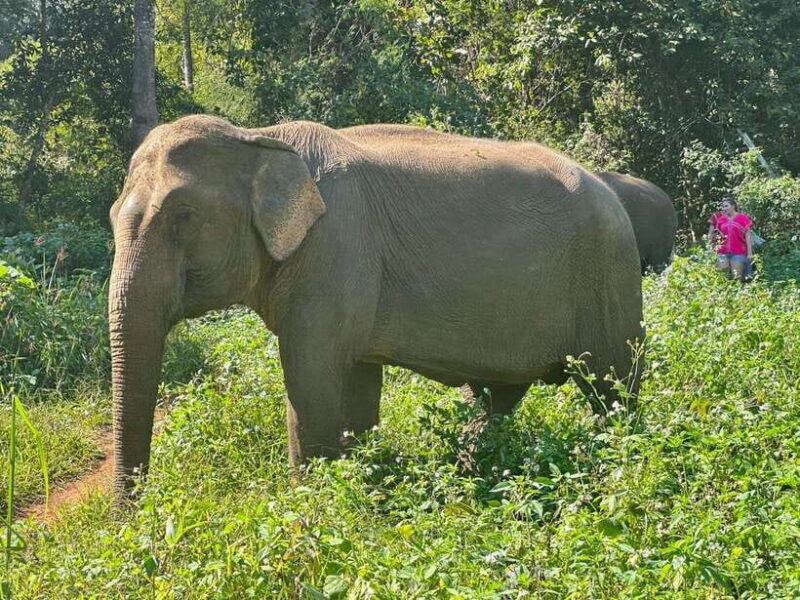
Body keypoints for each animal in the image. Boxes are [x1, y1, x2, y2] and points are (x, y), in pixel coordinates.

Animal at [109, 115, 644, 493]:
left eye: (183, 215)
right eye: (113, 215)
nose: (131, 520)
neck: (258, 137)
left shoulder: (336, 253)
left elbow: (311, 380)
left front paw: (307, 508)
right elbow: (358, 386)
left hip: (610, 278)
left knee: (613, 388)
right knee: (500, 397)